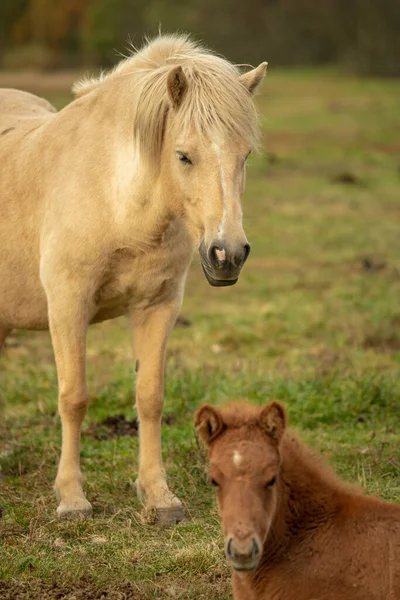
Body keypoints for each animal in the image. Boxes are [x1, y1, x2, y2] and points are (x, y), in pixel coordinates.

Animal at [0, 36, 268, 524]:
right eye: (183, 155)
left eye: (245, 156)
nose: (228, 255)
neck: (117, 201)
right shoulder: (68, 305)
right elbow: (74, 397)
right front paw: (71, 498)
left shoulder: (158, 307)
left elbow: (150, 398)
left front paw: (159, 496)